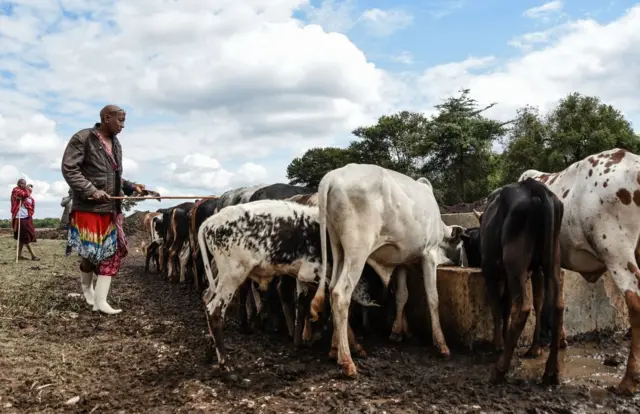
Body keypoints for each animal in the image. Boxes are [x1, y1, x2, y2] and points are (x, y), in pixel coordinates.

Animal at [310, 163, 464, 376]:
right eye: (461, 245)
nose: (462, 263)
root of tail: (332, 177)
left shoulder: (400, 262)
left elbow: (402, 295)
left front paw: (397, 332)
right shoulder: (429, 254)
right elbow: (433, 298)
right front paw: (441, 345)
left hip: (337, 247)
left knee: (332, 289)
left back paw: (335, 350)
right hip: (358, 250)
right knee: (340, 294)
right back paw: (347, 361)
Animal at [462, 180, 564, 386]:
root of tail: (533, 187)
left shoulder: (490, 270)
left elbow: (497, 306)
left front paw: (498, 343)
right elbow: (506, 307)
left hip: (515, 263)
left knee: (522, 307)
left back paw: (500, 369)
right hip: (551, 261)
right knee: (554, 304)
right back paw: (549, 369)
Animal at [516, 148, 640, 394]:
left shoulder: (537, 265)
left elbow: (539, 301)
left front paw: (535, 348)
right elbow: (559, 300)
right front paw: (561, 340)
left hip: (617, 253)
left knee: (635, 305)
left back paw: (628, 381)